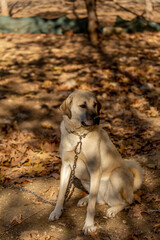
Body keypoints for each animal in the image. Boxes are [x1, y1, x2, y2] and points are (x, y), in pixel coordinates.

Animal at [48, 90, 142, 234]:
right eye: (82, 105)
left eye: (95, 105)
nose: (98, 119)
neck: (79, 136)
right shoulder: (66, 166)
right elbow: (61, 193)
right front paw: (57, 211)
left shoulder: (94, 169)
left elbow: (92, 206)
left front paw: (89, 225)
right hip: (87, 182)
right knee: (98, 198)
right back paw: (85, 199)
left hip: (116, 175)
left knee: (126, 202)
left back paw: (113, 209)